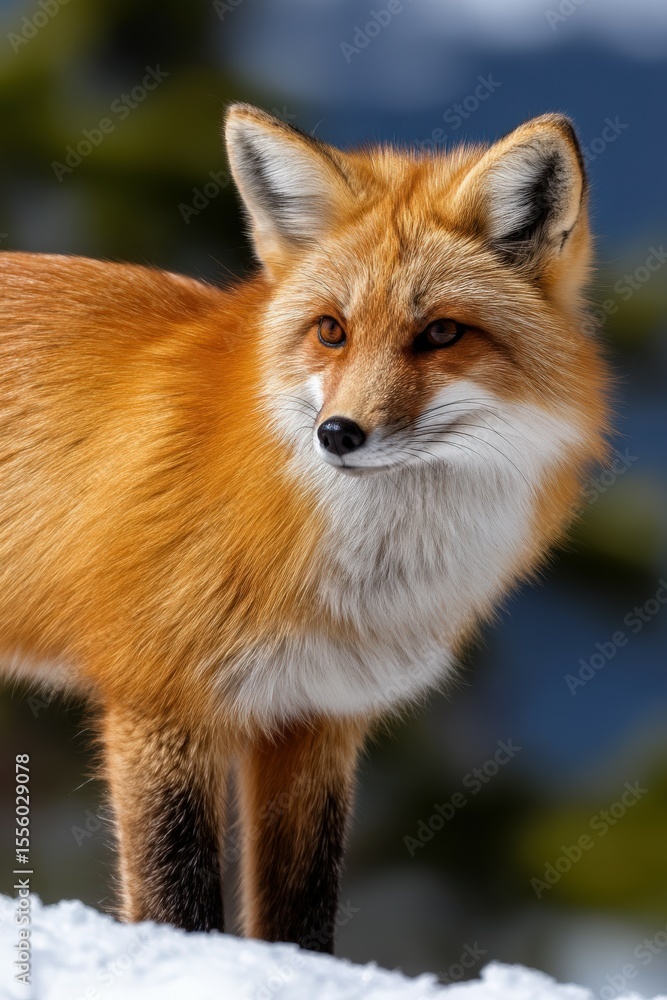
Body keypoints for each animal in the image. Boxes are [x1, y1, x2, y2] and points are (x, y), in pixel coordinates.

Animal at [0, 104, 608, 951]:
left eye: (441, 334)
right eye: (331, 331)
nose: (338, 434)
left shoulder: (317, 714)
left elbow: (300, 912)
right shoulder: (162, 700)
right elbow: (176, 903)